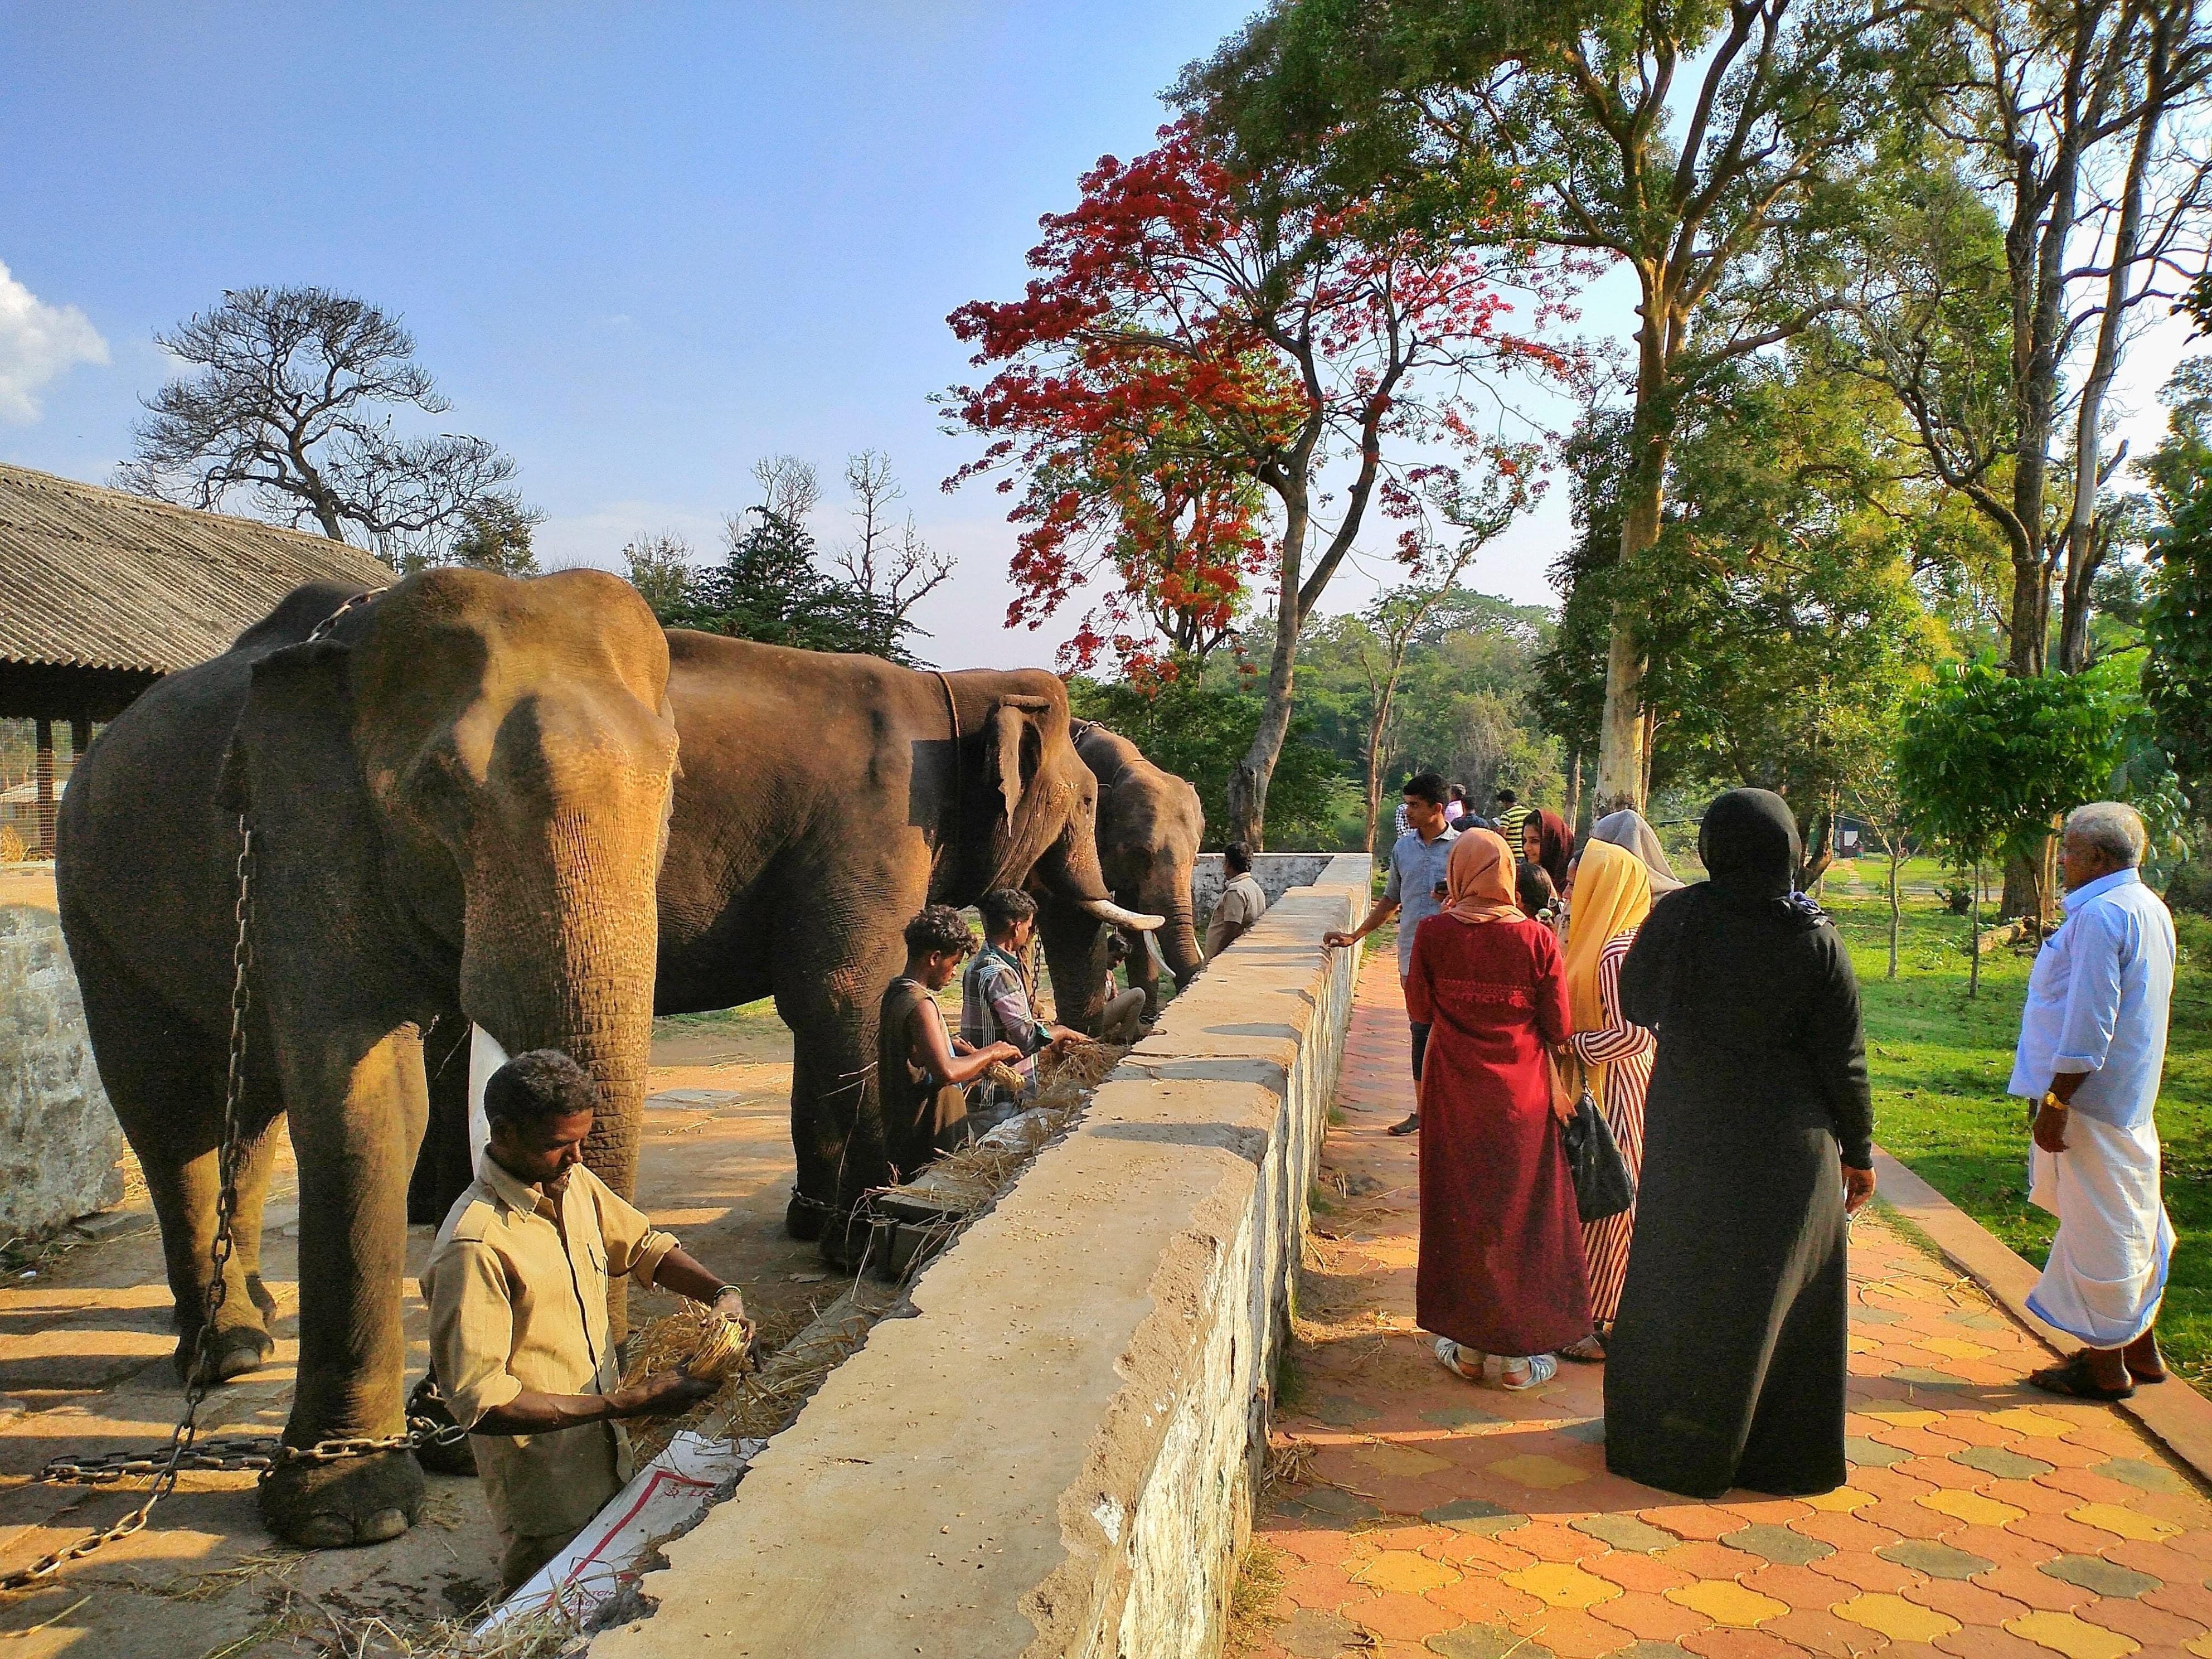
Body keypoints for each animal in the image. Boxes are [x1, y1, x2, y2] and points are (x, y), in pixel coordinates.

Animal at [56, 568, 677, 1550]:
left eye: (671, 786)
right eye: (441, 794)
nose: (615, 1396)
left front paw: (456, 1432)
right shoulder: (300, 840)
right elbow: (369, 1100)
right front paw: (349, 1512)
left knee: (246, 1116)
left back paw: (259, 1320)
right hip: (94, 910)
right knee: (168, 1110)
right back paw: (224, 1352)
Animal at [643, 630, 1161, 1254]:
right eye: (1087, 802)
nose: (1080, 1053)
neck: (956, 690)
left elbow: (817, 1010)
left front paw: (811, 1224)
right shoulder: (874, 824)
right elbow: (845, 994)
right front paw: (857, 1237)